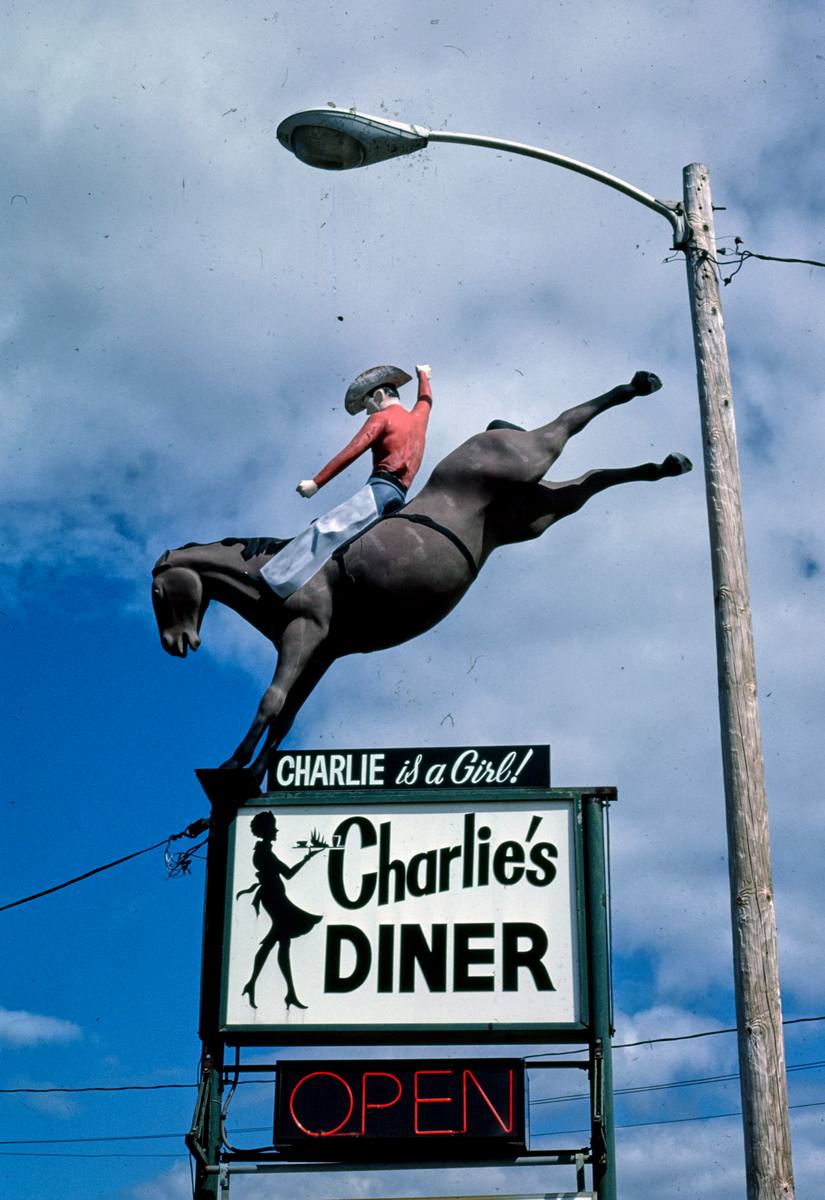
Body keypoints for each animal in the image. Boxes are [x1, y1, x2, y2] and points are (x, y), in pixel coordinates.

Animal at [152, 372, 690, 777]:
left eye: (157, 590)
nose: (176, 645)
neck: (268, 568)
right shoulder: (324, 651)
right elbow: (286, 716)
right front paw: (258, 770)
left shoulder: (304, 631)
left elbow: (272, 699)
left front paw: (232, 765)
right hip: (535, 510)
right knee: (588, 482)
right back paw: (667, 462)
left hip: (525, 459)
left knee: (563, 426)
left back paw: (641, 385)